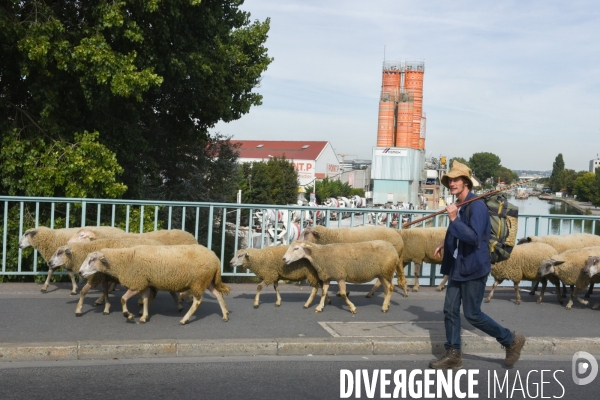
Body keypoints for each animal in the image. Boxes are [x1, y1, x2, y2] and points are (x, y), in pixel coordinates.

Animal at [47, 238, 183, 316]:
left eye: (60, 252)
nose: (49, 262)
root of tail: (160, 243)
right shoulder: (104, 277)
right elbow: (105, 291)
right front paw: (106, 306)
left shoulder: (97, 276)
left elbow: (84, 291)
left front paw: (79, 309)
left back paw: (178, 305)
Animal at [78, 244, 231, 324]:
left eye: (92, 260)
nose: (80, 272)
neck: (126, 260)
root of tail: (216, 258)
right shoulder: (144, 283)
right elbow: (145, 299)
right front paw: (144, 316)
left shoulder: (137, 282)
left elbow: (123, 299)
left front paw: (129, 315)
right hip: (207, 280)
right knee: (218, 295)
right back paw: (224, 315)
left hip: (198, 282)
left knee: (198, 301)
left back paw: (184, 319)